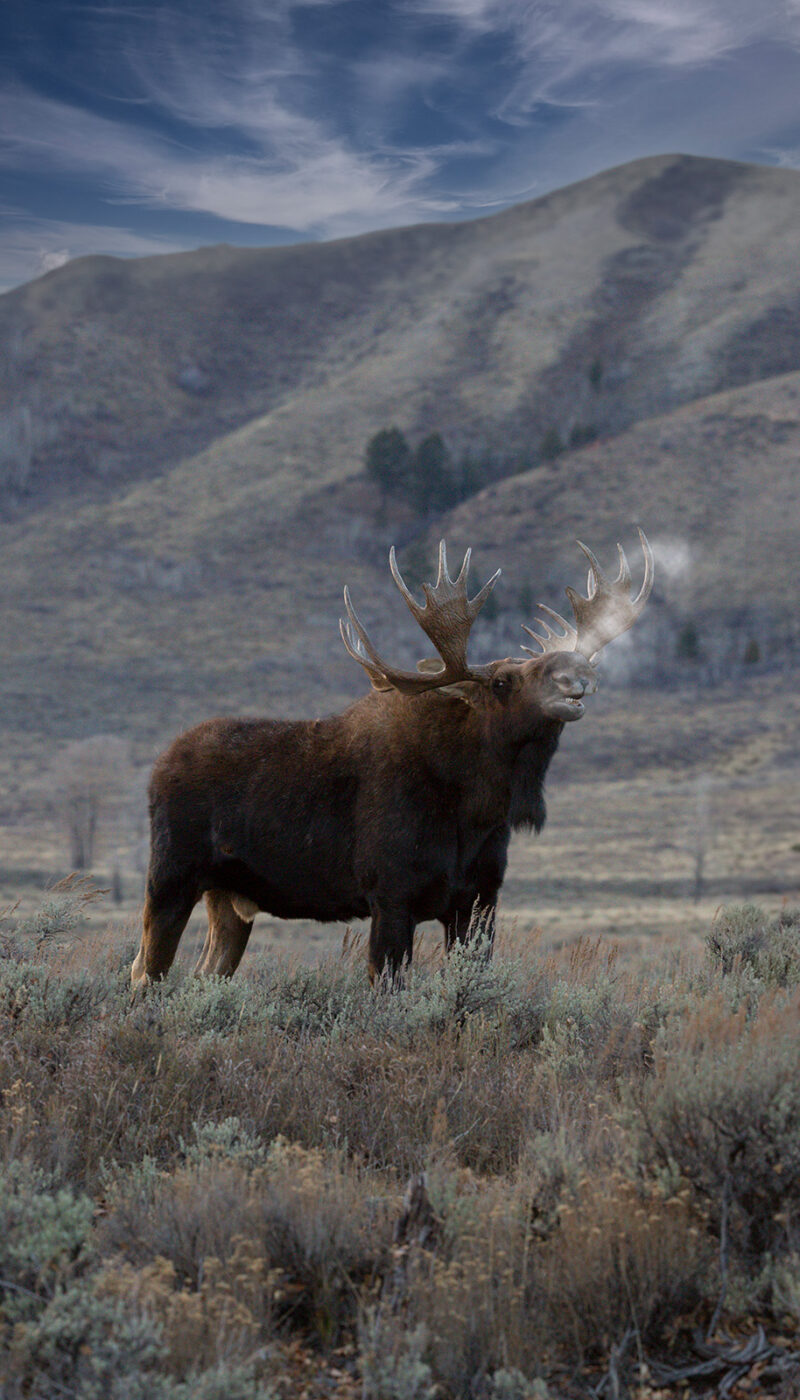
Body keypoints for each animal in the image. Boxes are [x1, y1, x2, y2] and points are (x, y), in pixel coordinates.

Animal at [131, 529, 652, 991]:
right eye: (502, 681)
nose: (576, 671)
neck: (474, 810)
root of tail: (156, 770)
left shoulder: (479, 898)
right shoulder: (391, 895)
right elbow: (387, 987)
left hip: (230, 898)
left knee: (202, 974)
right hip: (171, 878)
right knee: (144, 973)